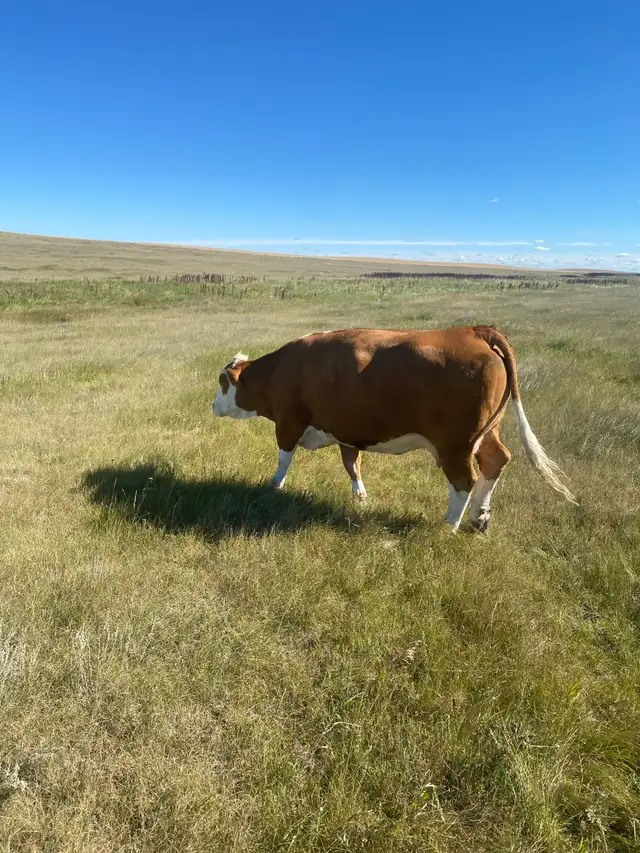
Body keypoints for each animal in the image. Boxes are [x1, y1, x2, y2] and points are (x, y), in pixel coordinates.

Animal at [211, 326, 576, 531]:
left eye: (222, 382)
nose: (213, 405)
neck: (279, 371)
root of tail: (475, 330)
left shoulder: (289, 423)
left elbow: (284, 460)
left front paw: (274, 486)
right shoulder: (347, 430)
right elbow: (352, 464)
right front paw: (360, 495)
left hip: (456, 443)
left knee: (465, 480)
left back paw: (449, 525)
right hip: (487, 432)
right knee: (496, 461)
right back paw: (480, 517)